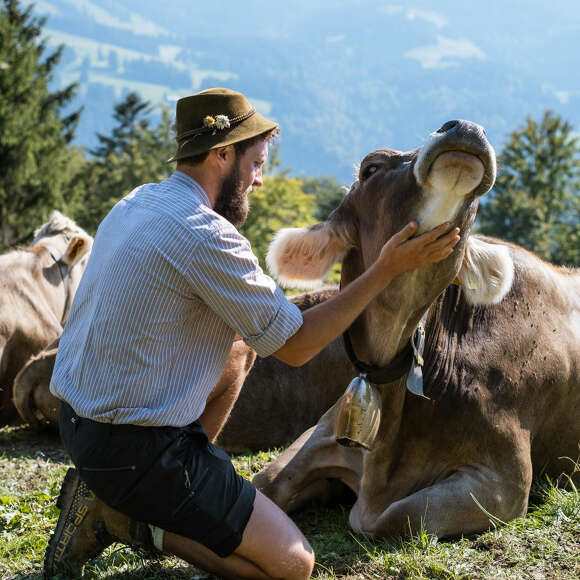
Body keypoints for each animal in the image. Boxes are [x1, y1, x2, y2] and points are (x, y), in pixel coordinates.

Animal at [254, 119, 580, 540]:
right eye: (371, 168)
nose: (467, 127)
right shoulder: (321, 431)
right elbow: (265, 482)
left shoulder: (505, 479)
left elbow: (394, 516)